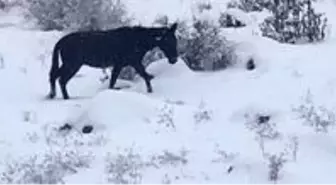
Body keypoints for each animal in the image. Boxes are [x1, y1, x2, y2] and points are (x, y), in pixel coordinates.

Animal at [48, 22, 178, 99]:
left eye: (175, 40)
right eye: (167, 41)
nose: (174, 59)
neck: (139, 41)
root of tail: (61, 41)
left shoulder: (130, 63)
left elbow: (145, 76)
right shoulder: (127, 63)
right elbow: (116, 81)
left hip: (70, 64)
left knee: (54, 76)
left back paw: (53, 95)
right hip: (72, 64)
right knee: (61, 79)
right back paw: (64, 97)